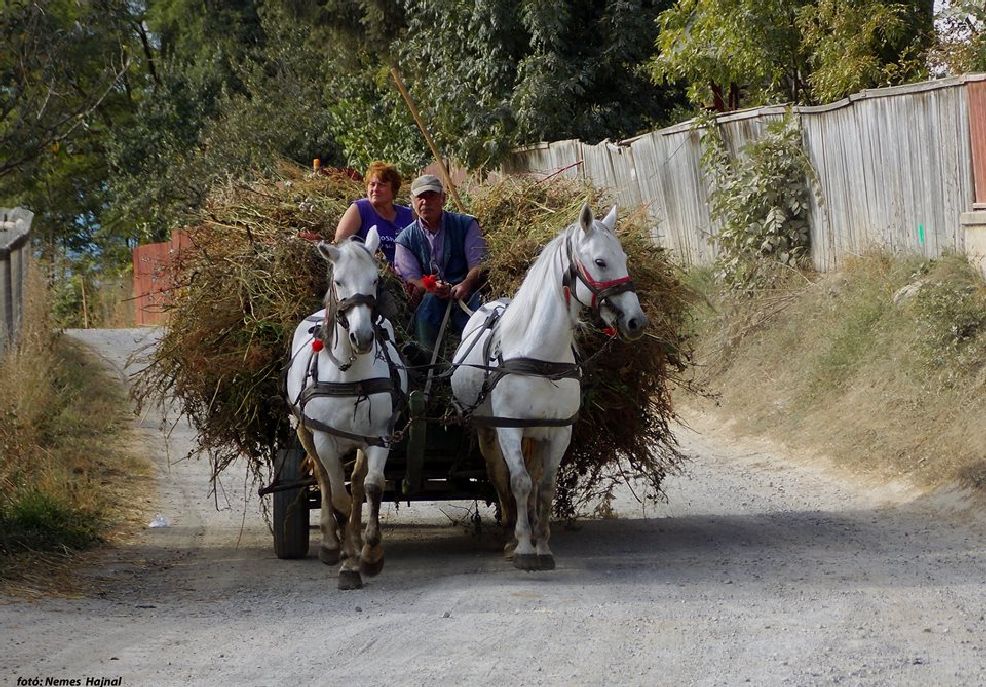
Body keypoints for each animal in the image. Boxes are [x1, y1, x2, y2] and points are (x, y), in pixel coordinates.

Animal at [282, 227, 406, 592]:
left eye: (375, 279)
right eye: (339, 281)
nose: (362, 336)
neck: (351, 376)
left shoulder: (380, 435)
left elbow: (372, 487)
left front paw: (370, 555)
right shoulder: (324, 437)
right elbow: (338, 495)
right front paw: (348, 562)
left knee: (358, 483)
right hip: (304, 430)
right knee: (324, 479)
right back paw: (329, 542)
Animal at [452, 204, 644, 568]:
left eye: (625, 258)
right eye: (600, 261)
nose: (636, 321)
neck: (541, 358)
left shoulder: (558, 431)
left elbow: (545, 486)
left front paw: (541, 544)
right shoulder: (509, 428)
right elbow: (520, 481)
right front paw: (524, 548)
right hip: (488, 429)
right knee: (500, 474)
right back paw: (510, 531)